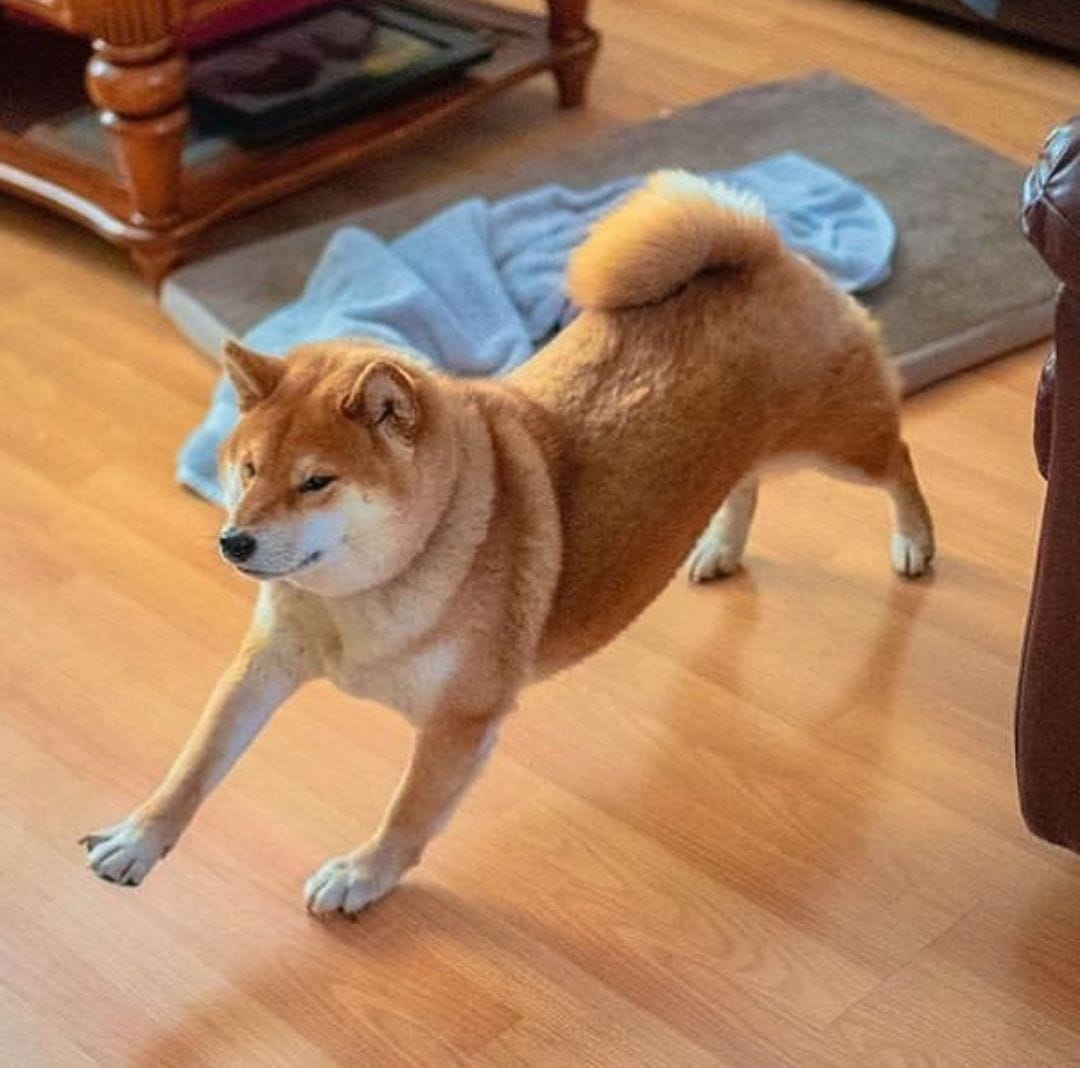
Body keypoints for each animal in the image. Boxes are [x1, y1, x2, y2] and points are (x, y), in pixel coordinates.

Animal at [81, 171, 934, 914]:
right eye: (249, 468)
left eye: (317, 482)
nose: (235, 542)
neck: (365, 600)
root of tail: (758, 248)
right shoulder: (264, 663)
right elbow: (195, 763)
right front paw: (138, 838)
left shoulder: (460, 721)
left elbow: (407, 812)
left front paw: (362, 875)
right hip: (757, 451)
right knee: (746, 481)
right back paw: (721, 546)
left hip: (835, 445)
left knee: (897, 461)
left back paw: (915, 543)